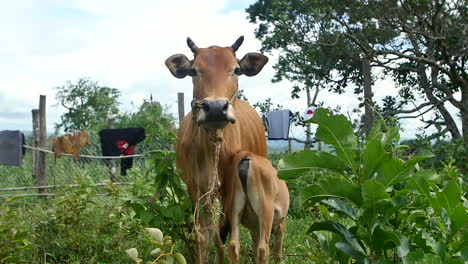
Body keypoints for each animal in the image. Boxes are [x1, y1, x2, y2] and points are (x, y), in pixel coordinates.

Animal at [166, 36, 268, 262]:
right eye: (193, 70)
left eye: (236, 70)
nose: (215, 108)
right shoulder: (196, 187)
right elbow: (204, 236)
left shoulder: (230, 189)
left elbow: (222, 232)